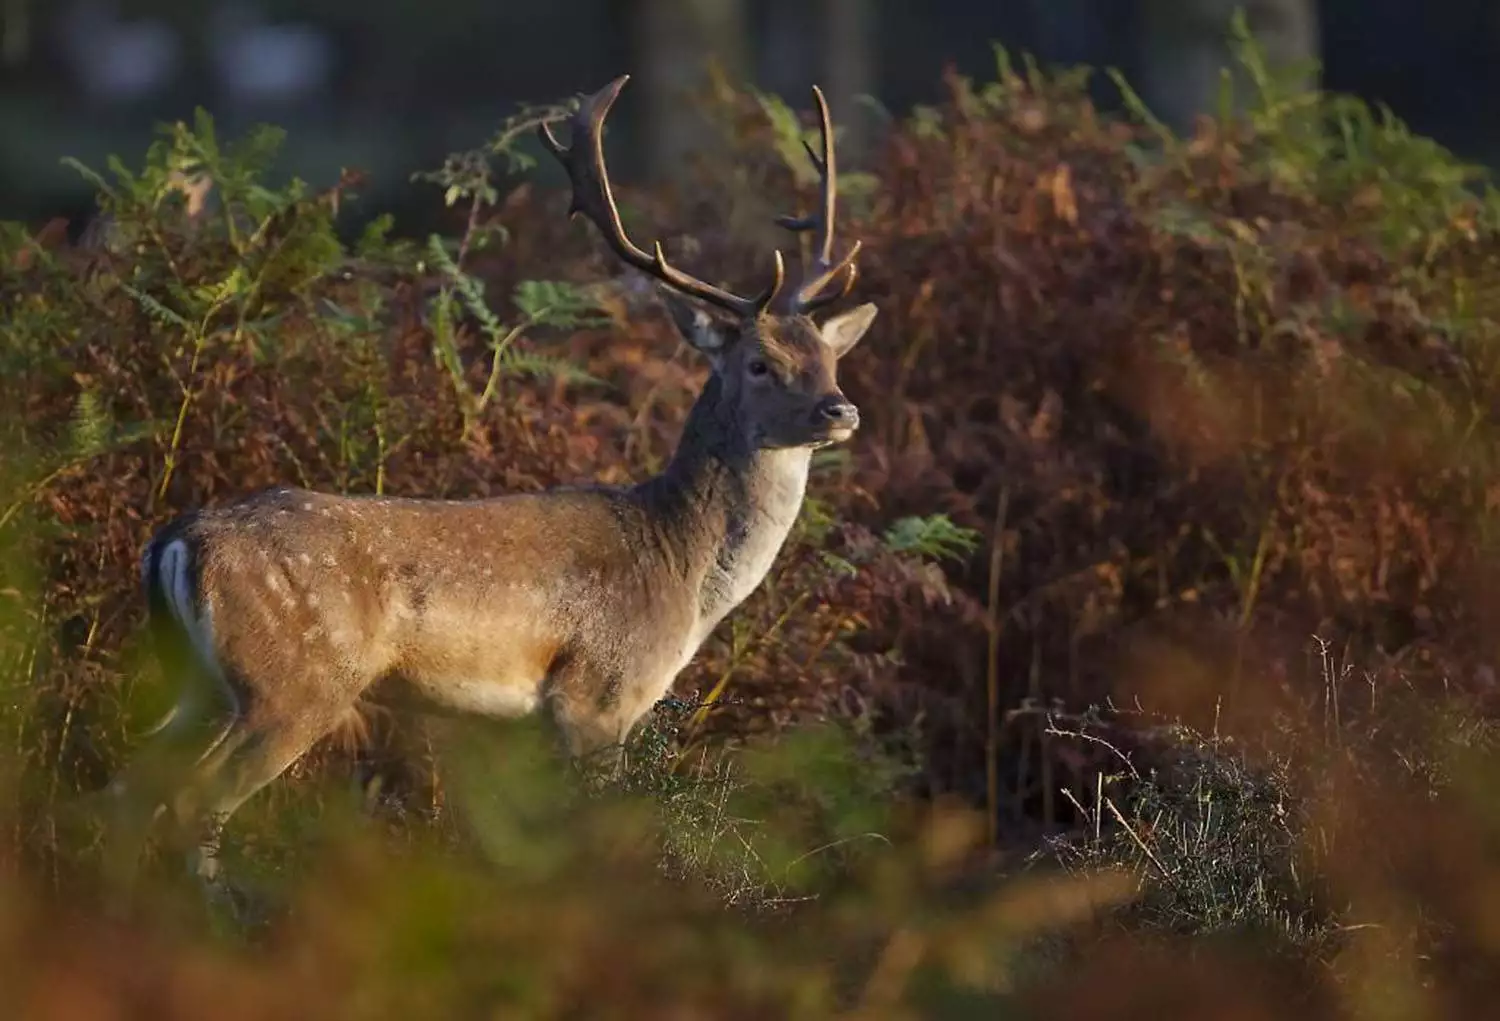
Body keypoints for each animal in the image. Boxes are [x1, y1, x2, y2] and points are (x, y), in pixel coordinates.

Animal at [101, 74, 877, 897]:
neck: (683, 571)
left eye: (828, 357)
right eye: (760, 362)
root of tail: (178, 540)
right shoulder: (597, 693)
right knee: (194, 797)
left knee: (128, 786)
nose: (841, 409)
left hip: (196, 681)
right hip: (291, 679)